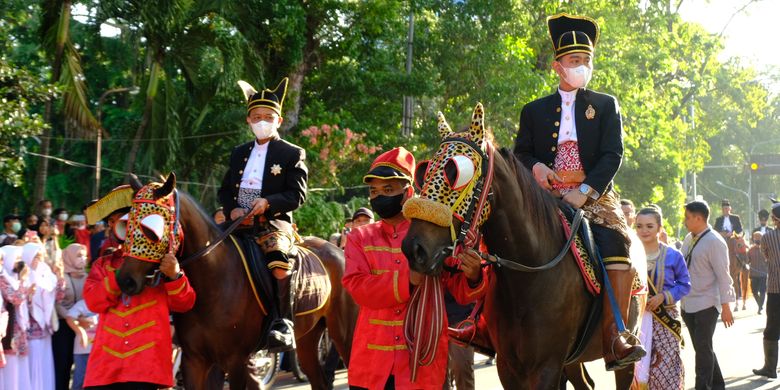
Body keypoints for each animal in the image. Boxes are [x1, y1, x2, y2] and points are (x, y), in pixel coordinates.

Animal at [116, 175, 360, 388]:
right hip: (308, 336)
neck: (212, 284)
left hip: (343, 331)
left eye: (151, 229)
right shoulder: (195, 360)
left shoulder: (236, 360)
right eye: (127, 225)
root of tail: (338, 250)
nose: (125, 280)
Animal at [400, 104, 644, 390]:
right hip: (572, 360)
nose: (414, 249)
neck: (528, 276)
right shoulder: (509, 366)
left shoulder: (547, 366)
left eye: (457, 173)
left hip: (621, 357)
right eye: (425, 171)